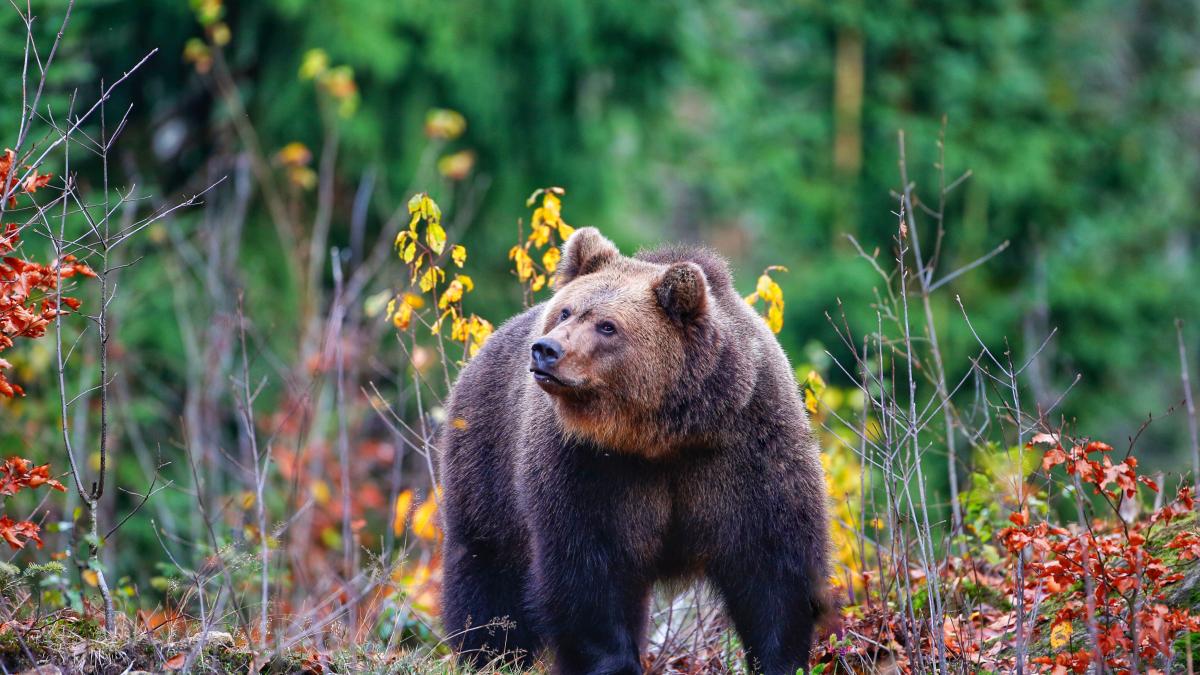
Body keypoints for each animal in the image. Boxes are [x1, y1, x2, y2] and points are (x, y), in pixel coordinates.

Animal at [439, 227, 832, 675]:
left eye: (607, 326)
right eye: (566, 311)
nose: (546, 350)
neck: (662, 434)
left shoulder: (746, 450)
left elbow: (773, 568)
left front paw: (782, 659)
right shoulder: (588, 467)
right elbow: (590, 575)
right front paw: (615, 662)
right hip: (486, 462)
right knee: (487, 570)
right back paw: (488, 654)